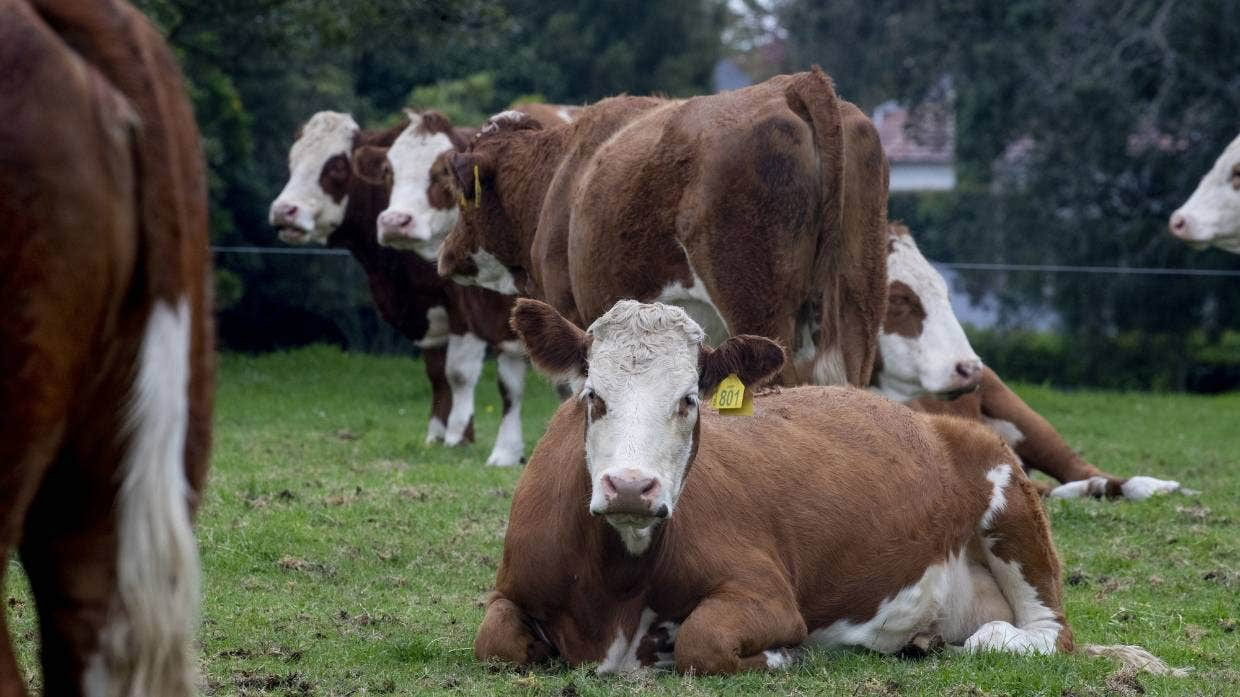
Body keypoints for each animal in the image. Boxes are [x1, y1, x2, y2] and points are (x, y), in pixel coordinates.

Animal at [269, 111, 527, 466]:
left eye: (336, 166)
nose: (284, 211)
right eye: (293, 161)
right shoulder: (428, 311)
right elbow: (436, 372)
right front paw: (436, 433)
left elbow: (459, 372)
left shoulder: (466, 307)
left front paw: (459, 436)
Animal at [437, 68, 889, 388]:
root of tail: (794, 84)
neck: (560, 173)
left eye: (460, 195)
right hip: (858, 303)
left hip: (759, 307)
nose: (445, 253)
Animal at [474, 299, 1182, 676]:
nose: (630, 487)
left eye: (689, 400)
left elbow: (706, 642)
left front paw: (777, 657)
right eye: (592, 396)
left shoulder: (765, 593)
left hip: (1010, 500)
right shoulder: (513, 587)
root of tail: (933, 420)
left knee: (1044, 631)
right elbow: (495, 643)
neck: (614, 589)